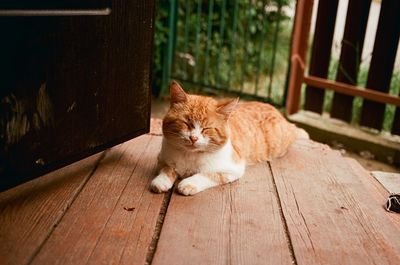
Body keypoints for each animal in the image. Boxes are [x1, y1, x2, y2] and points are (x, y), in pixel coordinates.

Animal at [151, 81, 310, 195]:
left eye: (206, 129)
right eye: (186, 123)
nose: (193, 138)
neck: (189, 156)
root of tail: (279, 113)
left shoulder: (232, 169)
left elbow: (207, 174)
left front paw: (189, 183)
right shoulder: (162, 159)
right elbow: (166, 169)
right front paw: (161, 181)